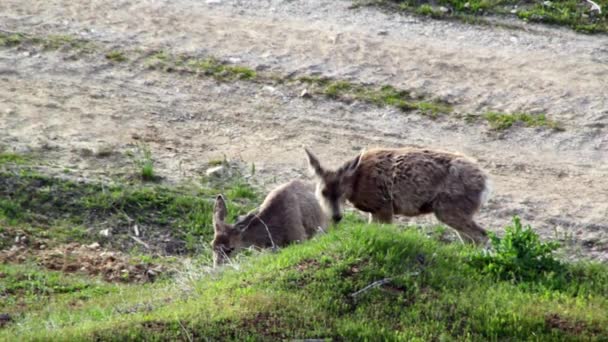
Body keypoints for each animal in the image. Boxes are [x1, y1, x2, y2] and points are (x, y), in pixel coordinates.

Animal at [304, 147, 494, 246]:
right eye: (323, 192)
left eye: (342, 193)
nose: (336, 216)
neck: (358, 182)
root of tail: (485, 183)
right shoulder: (375, 211)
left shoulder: (384, 205)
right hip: (456, 211)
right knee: (471, 239)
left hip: (449, 208)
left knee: (482, 235)